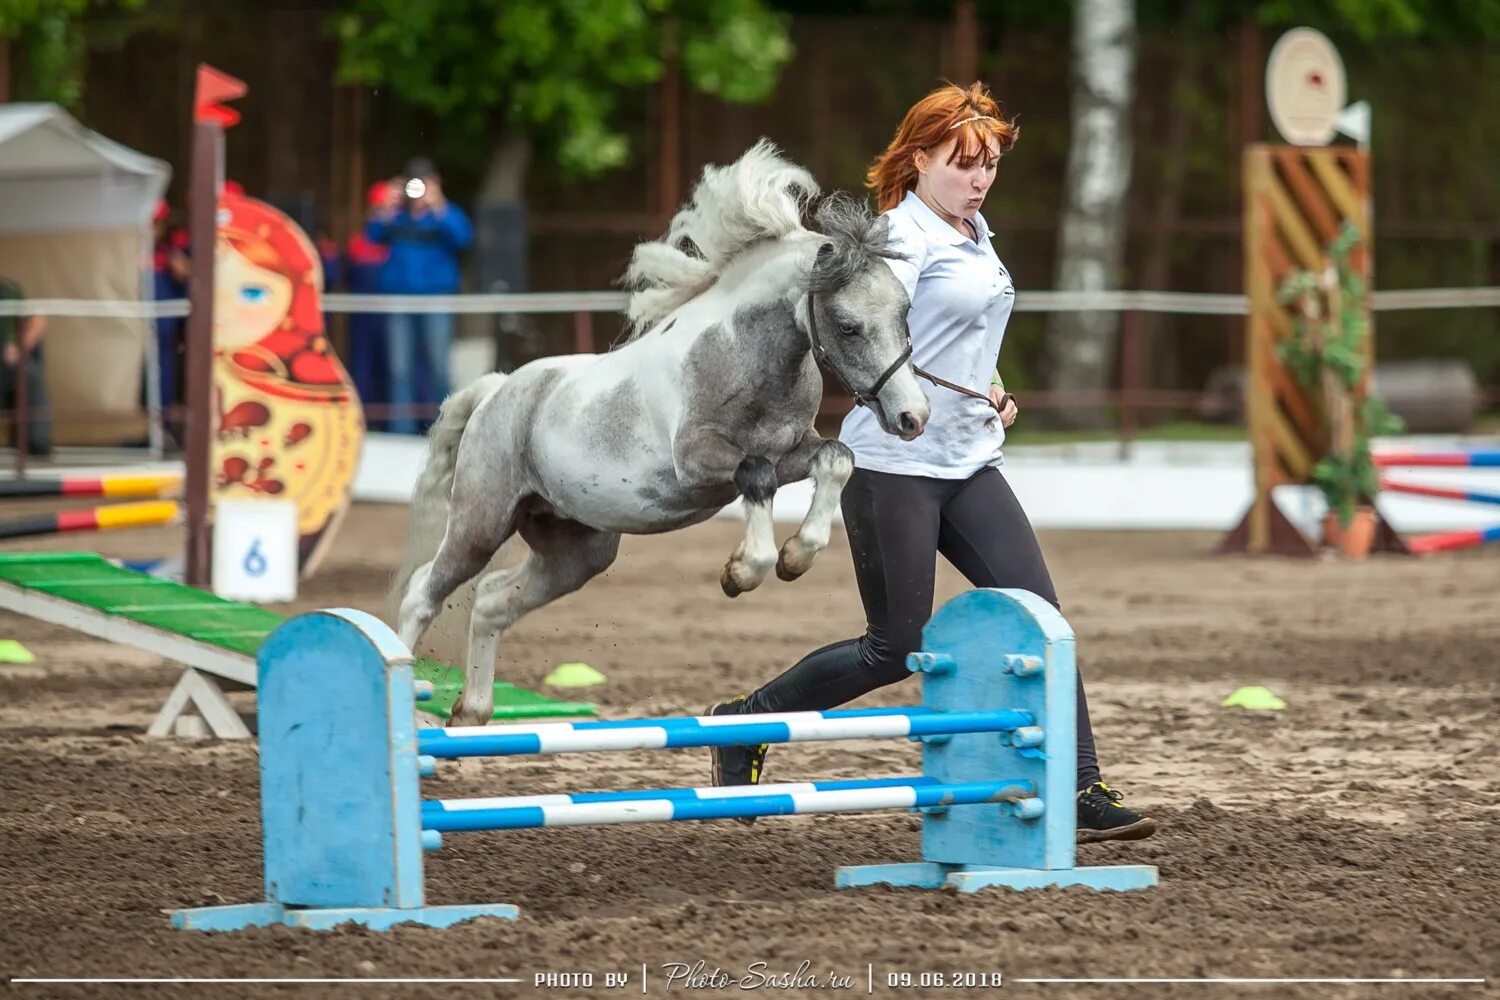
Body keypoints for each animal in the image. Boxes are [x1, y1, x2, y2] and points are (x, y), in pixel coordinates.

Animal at [390, 140, 924, 722]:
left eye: (905, 312)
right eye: (848, 326)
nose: (912, 417)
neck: (744, 356)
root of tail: (498, 390)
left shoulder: (793, 452)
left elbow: (836, 458)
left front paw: (796, 557)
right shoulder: (698, 463)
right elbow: (755, 477)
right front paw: (743, 571)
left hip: (575, 551)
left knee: (490, 600)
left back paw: (472, 713)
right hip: (480, 524)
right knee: (422, 594)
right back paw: (414, 710)